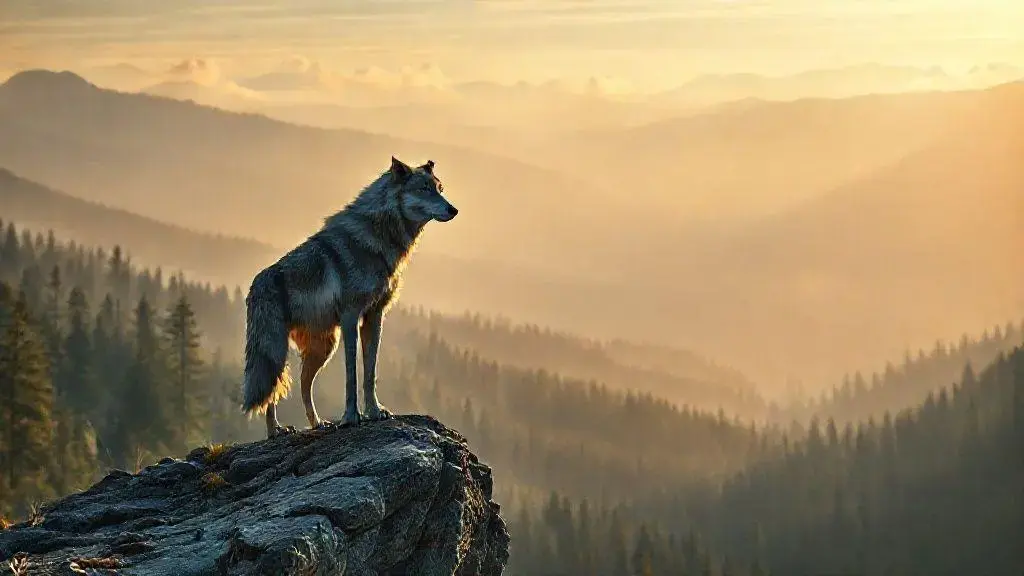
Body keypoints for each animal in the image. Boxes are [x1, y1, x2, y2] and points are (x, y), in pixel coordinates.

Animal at [240, 156, 458, 438]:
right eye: (424, 189)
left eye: (440, 189)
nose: (454, 210)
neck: (380, 236)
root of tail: (253, 287)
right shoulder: (350, 318)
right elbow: (351, 375)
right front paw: (352, 417)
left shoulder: (374, 317)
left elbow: (369, 373)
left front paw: (375, 412)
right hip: (275, 351)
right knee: (273, 391)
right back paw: (276, 430)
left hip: (322, 348)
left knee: (303, 385)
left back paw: (318, 424)